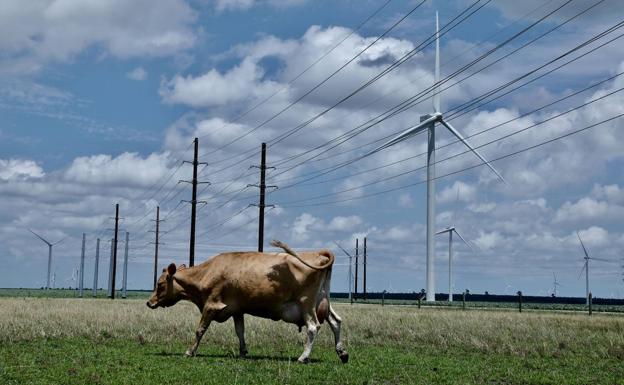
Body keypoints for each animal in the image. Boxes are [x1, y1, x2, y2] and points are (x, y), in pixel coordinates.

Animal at [149, 238, 348, 362]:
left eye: (160, 284)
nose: (149, 302)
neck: (206, 273)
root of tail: (318, 253)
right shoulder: (237, 309)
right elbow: (240, 331)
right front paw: (243, 352)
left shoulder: (211, 306)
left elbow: (200, 330)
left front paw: (190, 351)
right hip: (322, 301)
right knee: (336, 321)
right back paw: (342, 353)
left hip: (306, 304)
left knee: (314, 327)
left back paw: (303, 357)